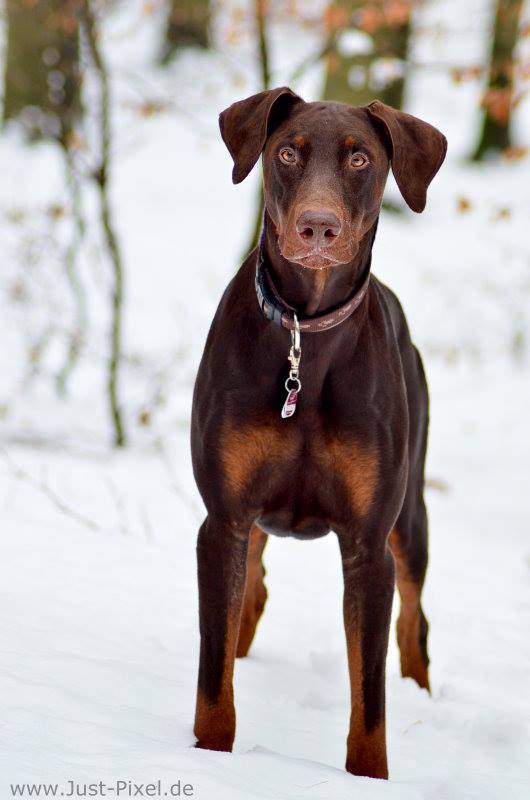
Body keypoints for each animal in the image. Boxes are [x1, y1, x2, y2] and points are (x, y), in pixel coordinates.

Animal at [190, 87, 446, 780]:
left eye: (360, 159)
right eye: (286, 152)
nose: (318, 227)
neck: (308, 333)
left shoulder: (368, 544)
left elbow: (371, 693)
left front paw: (369, 779)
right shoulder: (223, 520)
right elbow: (213, 675)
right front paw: (210, 757)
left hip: (410, 518)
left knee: (414, 622)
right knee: (251, 592)